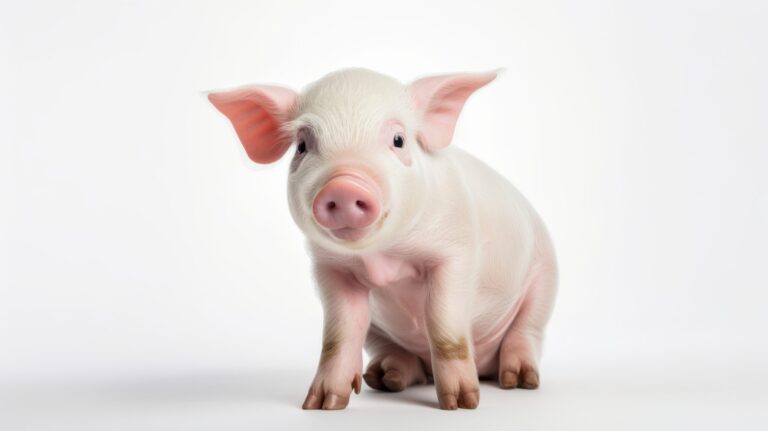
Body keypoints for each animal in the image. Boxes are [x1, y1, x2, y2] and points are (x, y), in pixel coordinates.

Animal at [208, 68, 557, 410]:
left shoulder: (457, 251)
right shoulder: (330, 269)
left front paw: (461, 404)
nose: (344, 186)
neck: (382, 257)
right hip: (380, 331)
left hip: (545, 278)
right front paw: (321, 405)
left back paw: (519, 381)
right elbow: (339, 334)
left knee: (527, 331)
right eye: (302, 147)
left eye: (398, 140)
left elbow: (444, 324)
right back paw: (384, 378)